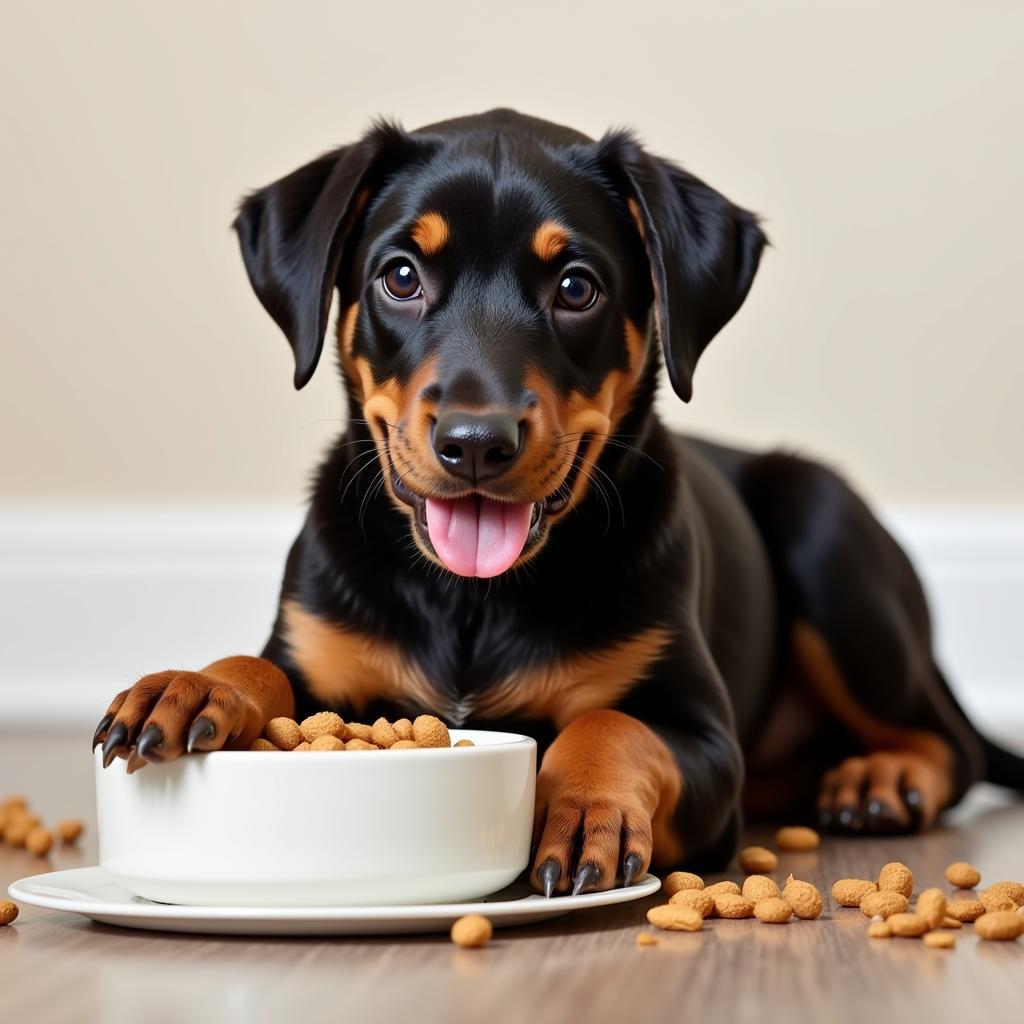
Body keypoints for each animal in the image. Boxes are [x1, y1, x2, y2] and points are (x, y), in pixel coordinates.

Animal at [92, 110, 1019, 897]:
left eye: (577, 288)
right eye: (400, 276)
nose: (475, 441)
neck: (470, 600)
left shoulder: (704, 737)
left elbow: (614, 724)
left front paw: (585, 810)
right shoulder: (316, 648)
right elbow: (259, 668)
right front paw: (193, 686)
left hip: (821, 530)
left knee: (951, 741)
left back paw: (879, 778)